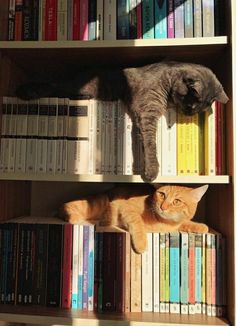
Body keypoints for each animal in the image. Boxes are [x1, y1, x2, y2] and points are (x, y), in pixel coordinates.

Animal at [15, 61, 229, 182]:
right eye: (191, 105)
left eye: (196, 110)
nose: (187, 112)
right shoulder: (148, 110)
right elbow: (150, 143)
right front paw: (152, 171)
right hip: (79, 86)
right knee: (54, 85)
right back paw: (26, 91)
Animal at [60, 185, 209, 253]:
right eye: (161, 194)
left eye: (177, 201)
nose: (163, 206)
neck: (163, 222)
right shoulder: (127, 207)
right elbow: (137, 222)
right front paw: (141, 243)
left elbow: (184, 222)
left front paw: (200, 226)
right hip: (99, 203)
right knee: (66, 205)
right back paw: (74, 217)